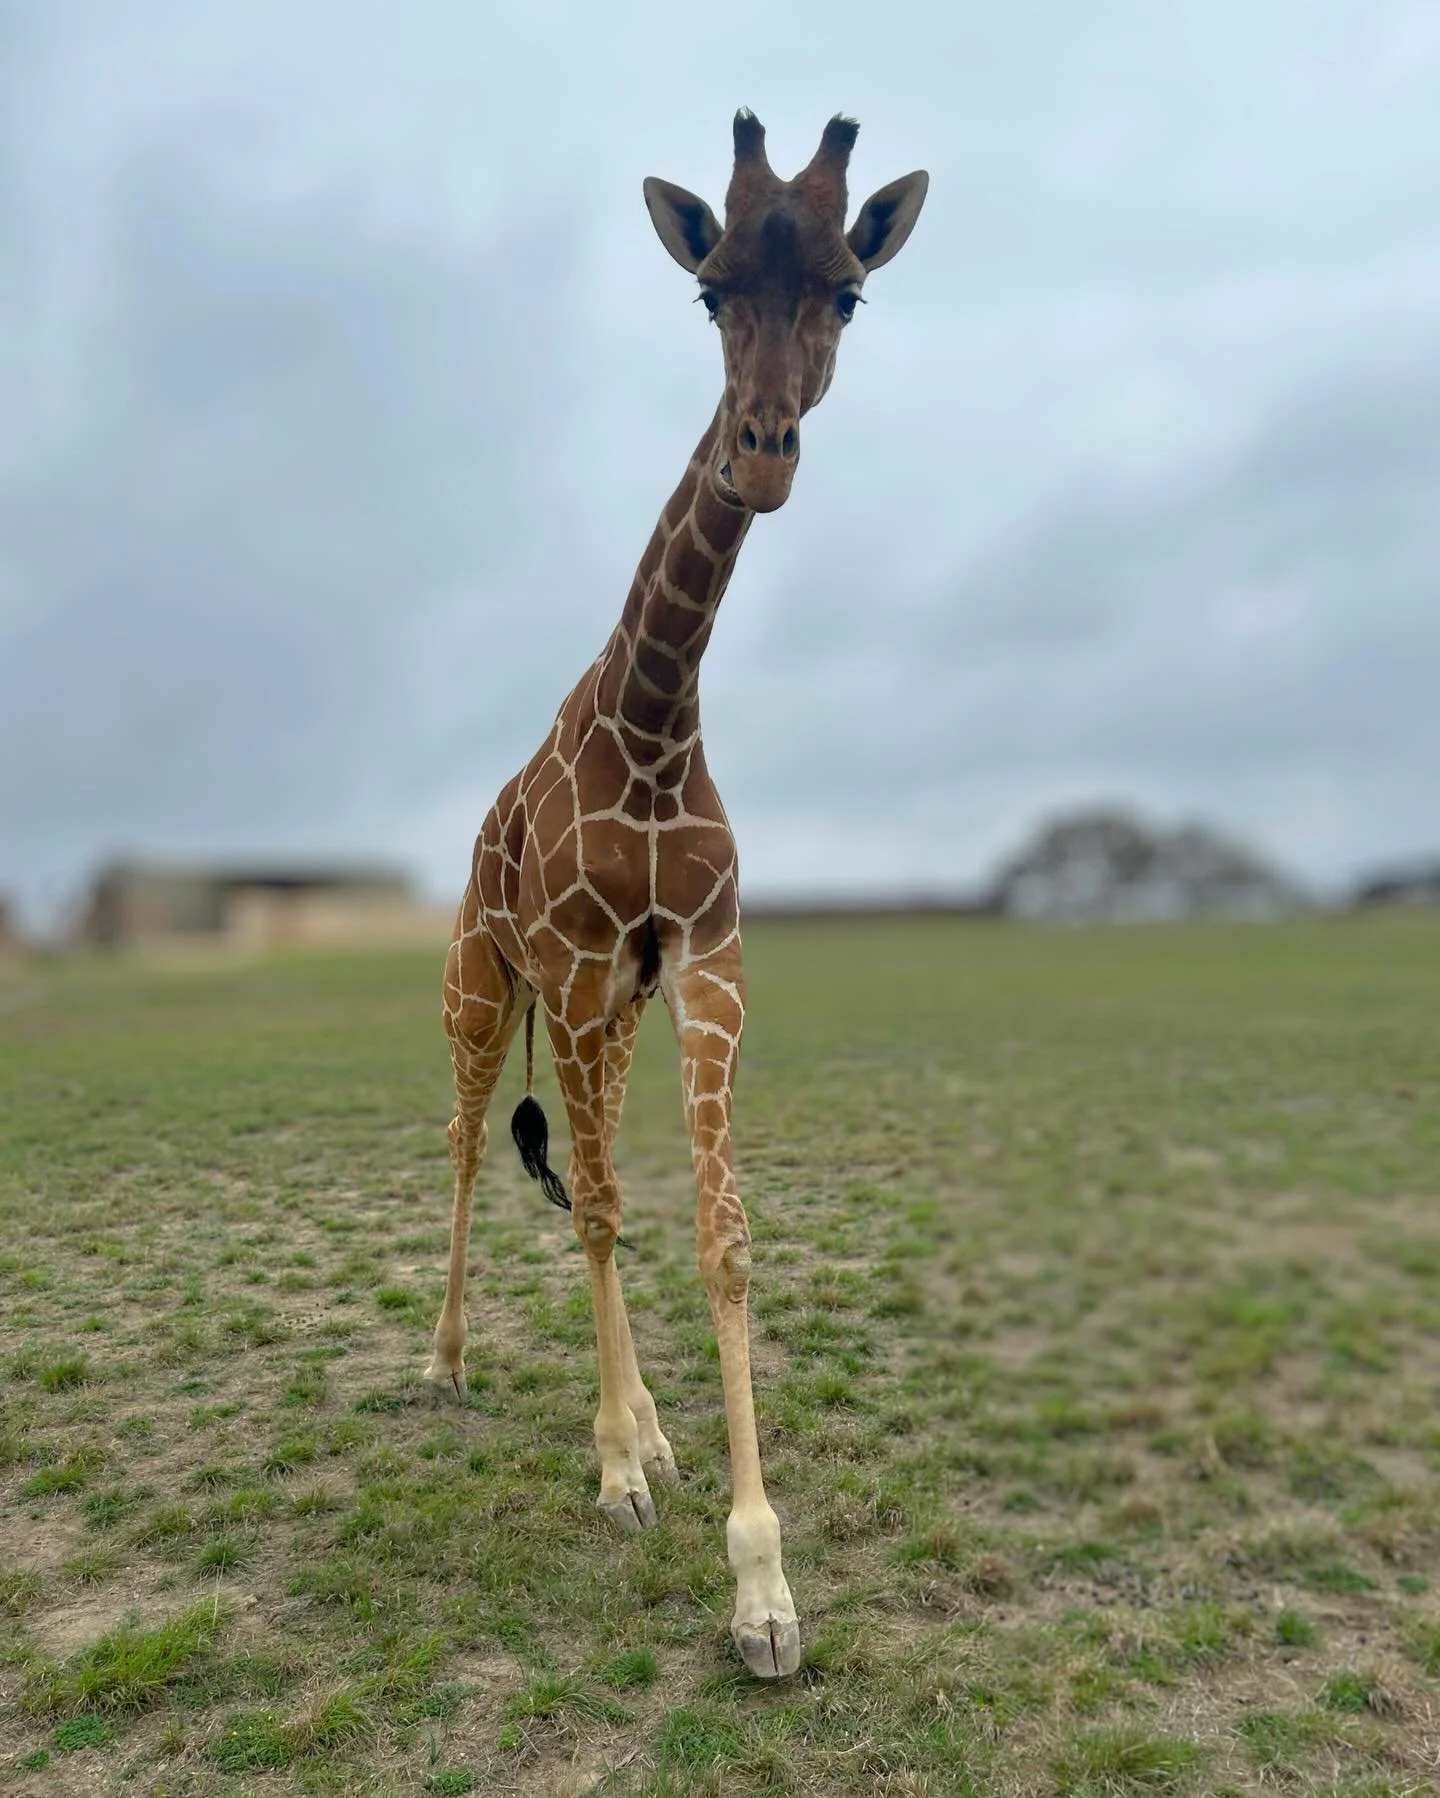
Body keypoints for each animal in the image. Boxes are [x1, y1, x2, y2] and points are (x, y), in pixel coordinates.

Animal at [423, 110, 927, 1680]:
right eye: (709, 293)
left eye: (848, 293)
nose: (763, 455)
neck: (653, 720)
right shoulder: (584, 969)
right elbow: (592, 1209)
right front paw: (616, 1472)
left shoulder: (703, 962)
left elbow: (716, 1232)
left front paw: (760, 1583)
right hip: (484, 990)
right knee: (475, 1153)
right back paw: (450, 1364)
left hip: (607, 1016)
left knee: (584, 1175)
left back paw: (645, 1425)